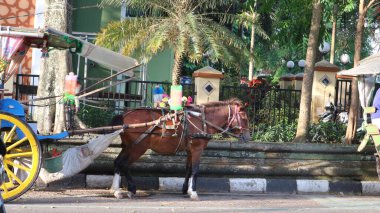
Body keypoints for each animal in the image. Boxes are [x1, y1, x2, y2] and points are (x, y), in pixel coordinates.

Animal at [110, 99, 251, 201]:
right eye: (244, 118)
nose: (248, 137)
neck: (203, 120)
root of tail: (124, 115)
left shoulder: (190, 150)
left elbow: (188, 169)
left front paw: (186, 190)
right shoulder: (197, 149)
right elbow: (195, 170)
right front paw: (193, 192)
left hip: (128, 147)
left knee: (118, 162)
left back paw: (116, 190)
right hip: (138, 148)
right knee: (124, 164)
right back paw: (130, 189)